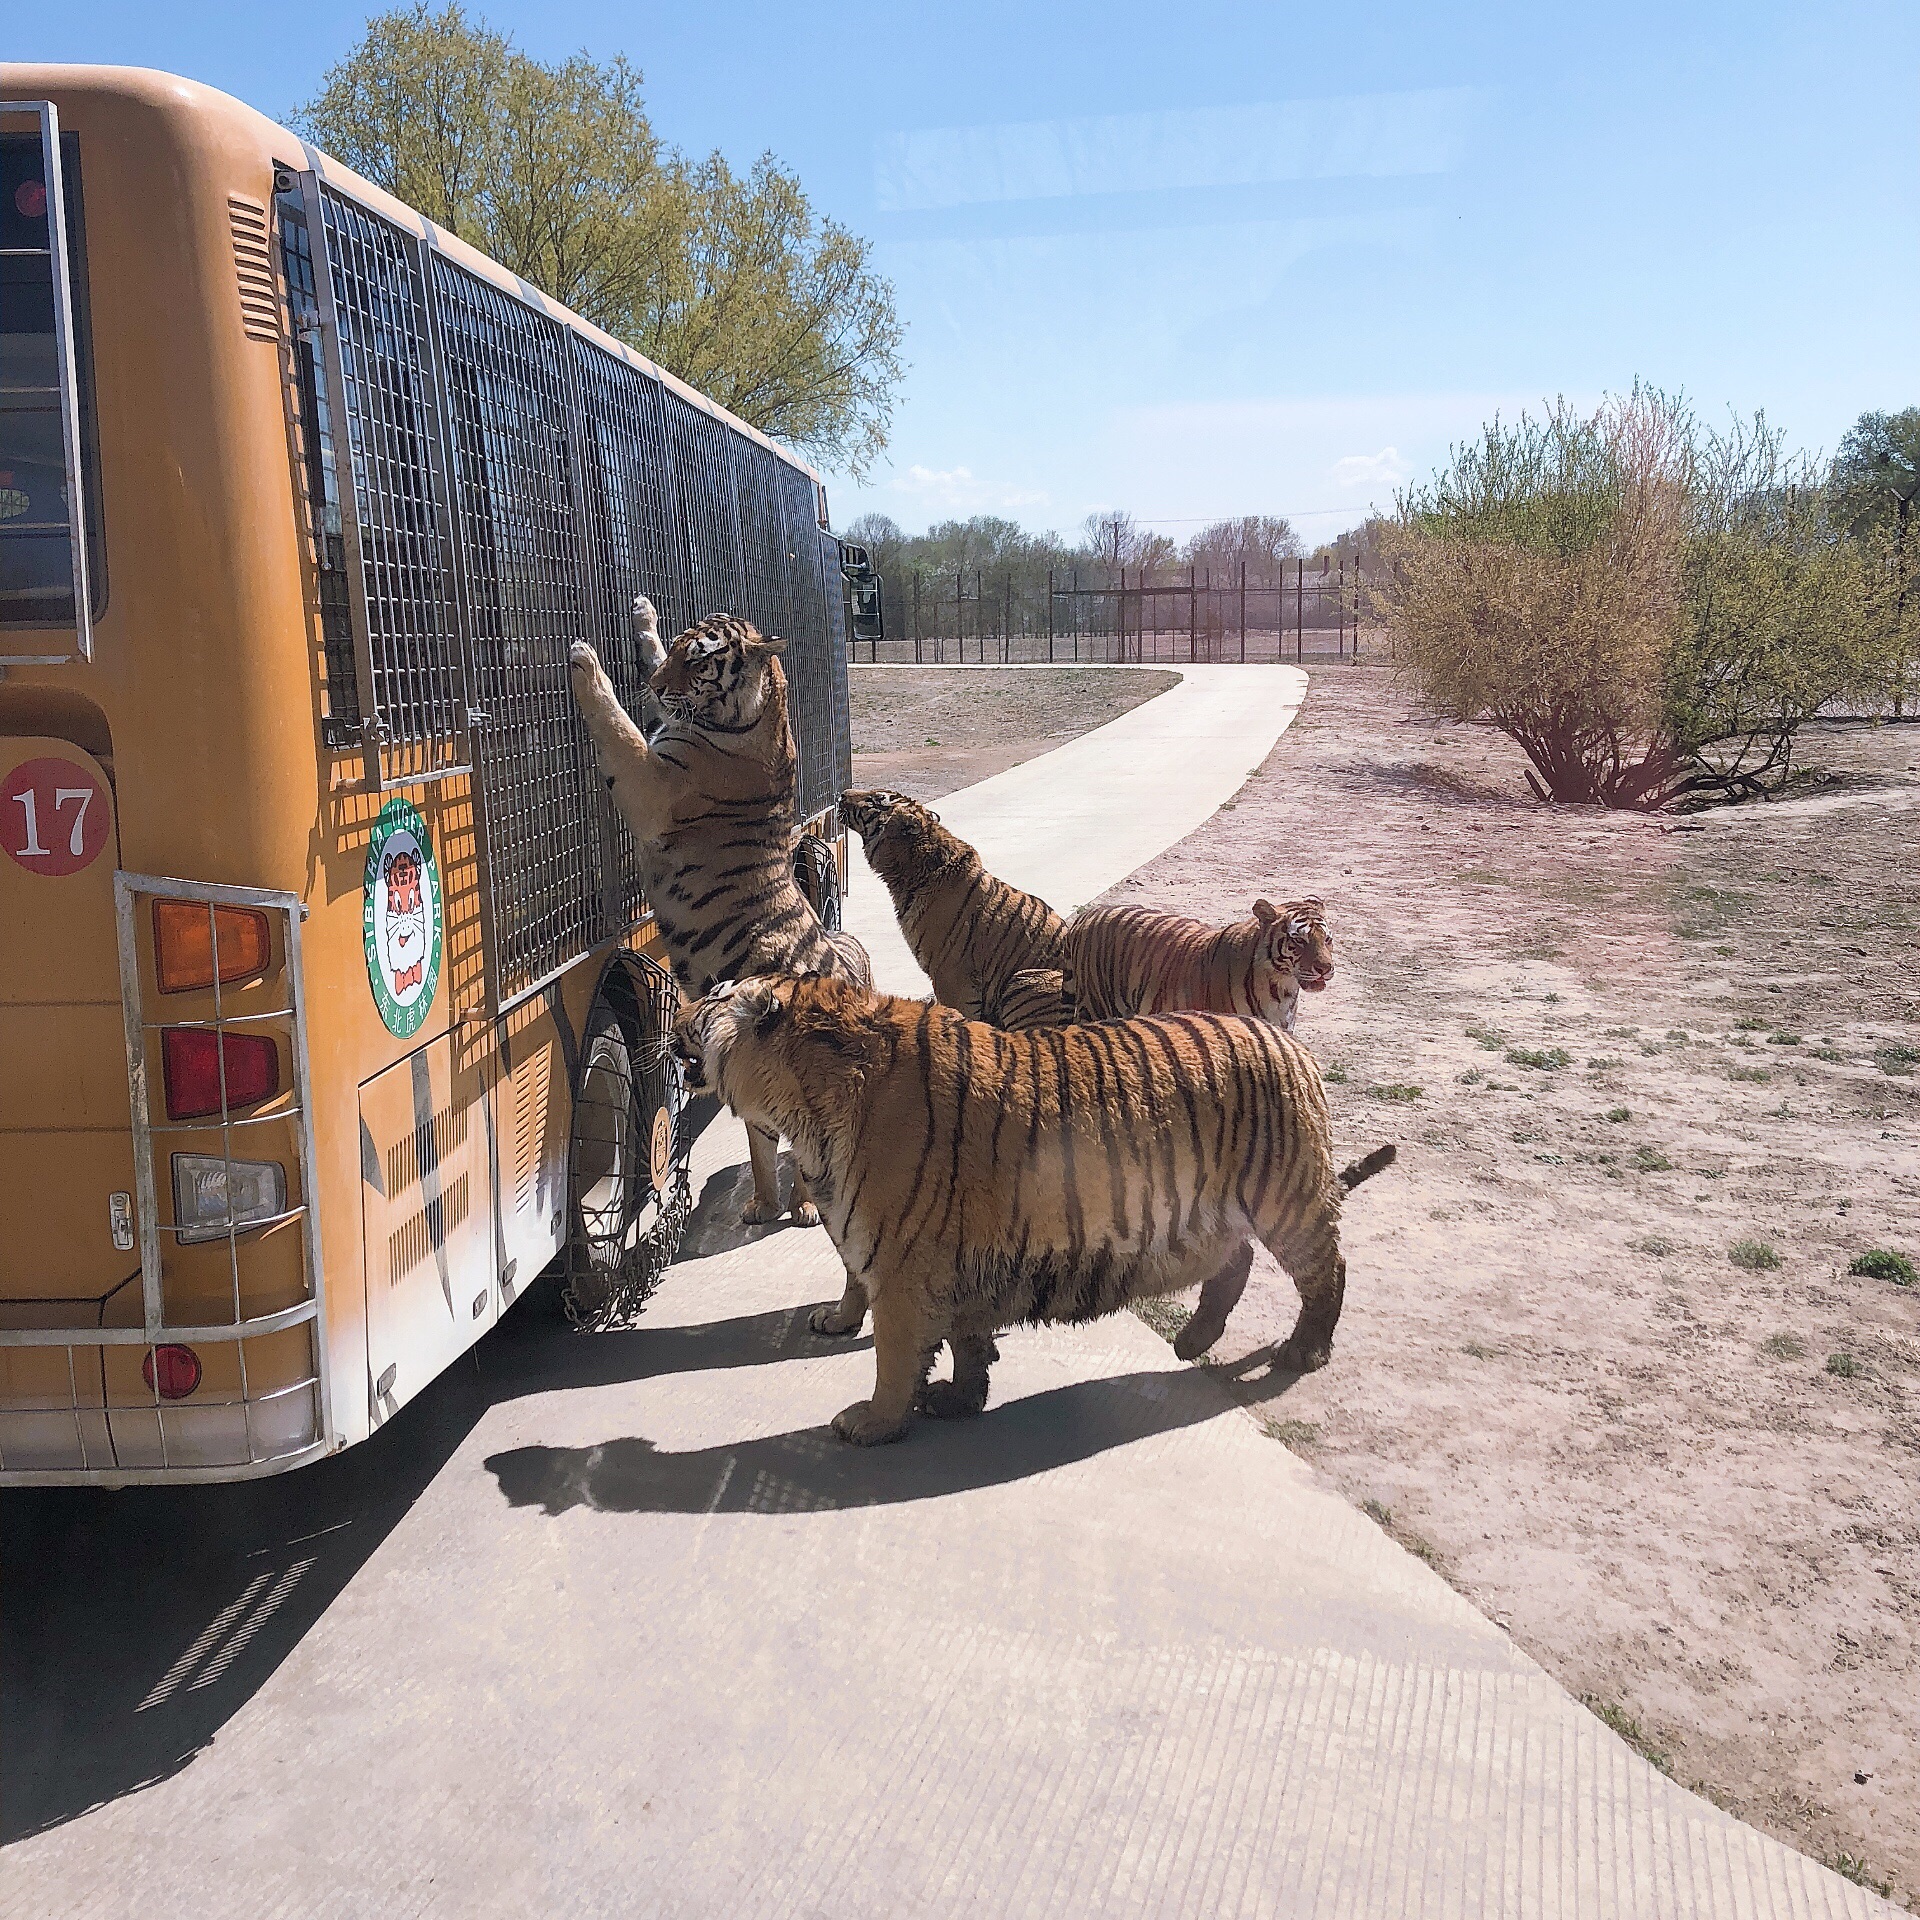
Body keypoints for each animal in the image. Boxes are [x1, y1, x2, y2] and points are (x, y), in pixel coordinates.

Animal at [568, 599, 871, 1251]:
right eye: (683, 649)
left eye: (701, 662)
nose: (656, 687)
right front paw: (643, 619)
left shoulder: (652, 781)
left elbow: (617, 726)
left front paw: (585, 660)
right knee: (762, 1137)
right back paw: (762, 1204)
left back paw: (801, 1209)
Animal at [675, 975, 1397, 1443]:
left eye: (712, 998)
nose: (675, 1017)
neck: (807, 1107)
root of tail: (1290, 1044)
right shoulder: (949, 1262)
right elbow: (961, 1342)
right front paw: (958, 1399)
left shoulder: (906, 1268)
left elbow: (893, 1355)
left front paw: (874, 1422)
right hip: (1220, 1210)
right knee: (1236, 1260)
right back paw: (1193, 1340)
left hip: (1287, 1202)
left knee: (1327, 1273)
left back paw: (1304, 1352)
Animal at [1067, 898, 1336, 1036]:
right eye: (1298, 940)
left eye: (1327, 939)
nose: (1325, 968)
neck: (1281, 989)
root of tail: (1088, 913)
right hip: (1095, 1007)